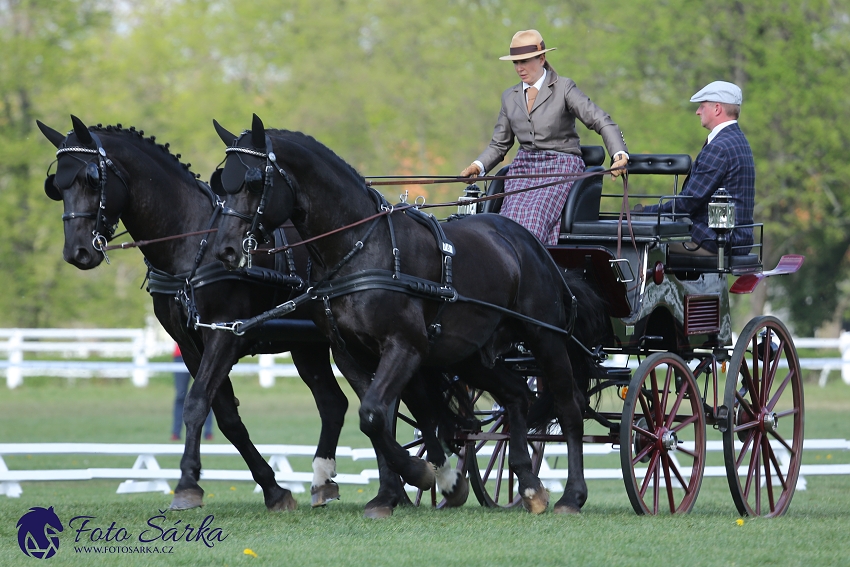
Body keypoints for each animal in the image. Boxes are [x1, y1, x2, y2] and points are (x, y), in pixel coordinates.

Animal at [36, 117, 352, 512]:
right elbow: (226, 416)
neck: (191, 242)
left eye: (92, 178)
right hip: (307, 347)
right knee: (333, 403)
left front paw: (187, 483)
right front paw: (273, 488)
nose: (76, 252)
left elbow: (197, 403)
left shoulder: (225, 335)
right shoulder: (189, 344)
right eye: (56, 185)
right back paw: (324, 481)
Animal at [210, 115, 608, 516]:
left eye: (253, 181)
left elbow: (373, 414)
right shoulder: (351, 353)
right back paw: (528, 484)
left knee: (569, 408)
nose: (224, 250)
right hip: (470, 354)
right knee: (516, 398)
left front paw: (420, 473)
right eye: (221, 182)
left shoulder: (405, 346)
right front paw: (418, 485)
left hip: (546, 338)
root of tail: (529, 241)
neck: (362, 247)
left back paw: (572, 495)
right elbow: (381, 419)